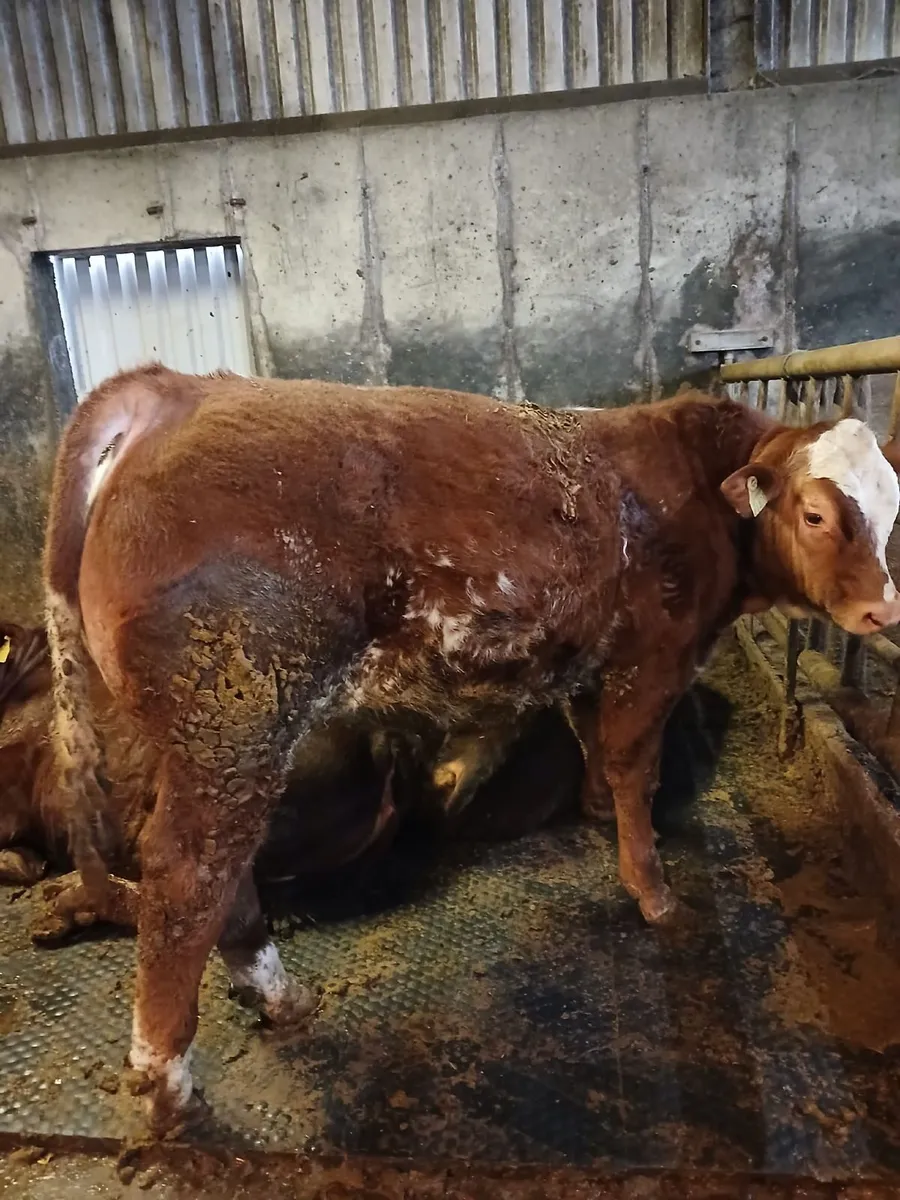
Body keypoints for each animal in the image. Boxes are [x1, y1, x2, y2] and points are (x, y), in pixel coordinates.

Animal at [43, 365, 900, 1132]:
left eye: (891, 514)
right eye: (816, 514)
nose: (881, 610)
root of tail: (176, 388)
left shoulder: (586, 659)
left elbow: (594, 748)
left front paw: (600, 820)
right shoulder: (653, 659)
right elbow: (635, 768)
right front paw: (652, 890)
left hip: (206, 741)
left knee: (221, 871)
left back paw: (277, 997)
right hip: (234, 714)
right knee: (189, 875)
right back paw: (170, 1082)